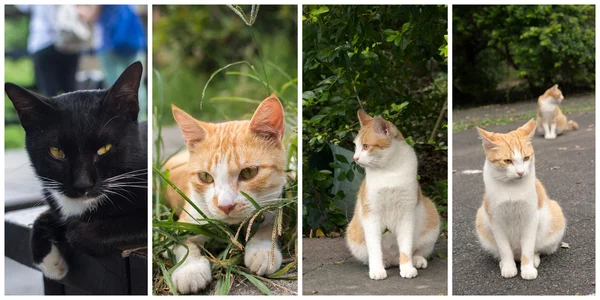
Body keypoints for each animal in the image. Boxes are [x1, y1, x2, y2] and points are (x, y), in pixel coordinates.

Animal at [4, 61, 148, 282]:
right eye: (57, 152)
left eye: (104, 148)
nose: (83, 184)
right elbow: (46, 214)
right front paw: (50, 262)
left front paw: (74, 232)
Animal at [164, 95, 286, 294]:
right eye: (205, 176)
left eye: (249, 172)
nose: (225, 205)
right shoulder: (186, 222)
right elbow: (183, 243)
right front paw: (189, 269)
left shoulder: (273, 204)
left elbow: (269, 226)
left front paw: (262, 251)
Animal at [344, 110, 438, 282]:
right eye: (356, 146)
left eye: (366, 146)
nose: (355, 158)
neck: (389, 170)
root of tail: (394, 260)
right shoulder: (371, 213)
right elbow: (374, 247)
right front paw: (377, 269)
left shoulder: (407, 213)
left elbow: (406, 247)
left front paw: (407, 268)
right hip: (353, 235)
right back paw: (384, 262)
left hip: (431, 215)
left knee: (416, 250)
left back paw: (417, 260)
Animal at [476, 120, 564, 282]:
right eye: (507, 161)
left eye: (526, 158)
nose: (521, 172)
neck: (512, 188)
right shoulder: (496, 221)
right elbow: (504, 249)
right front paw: (508, 267)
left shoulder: (530, 219)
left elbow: (528, 248)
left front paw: (527, 269)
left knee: (536, 249)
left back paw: (534, 260)